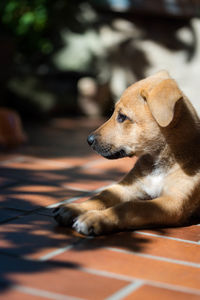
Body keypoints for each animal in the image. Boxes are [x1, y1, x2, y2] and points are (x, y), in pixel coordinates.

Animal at [53, 71, 200, 236]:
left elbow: (130, 206)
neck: (157, 162)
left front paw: (94, 218)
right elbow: (102, 195)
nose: (88, 140)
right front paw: (74, 208)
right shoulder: (128, 186)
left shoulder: (174, 202)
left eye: (122, 117)